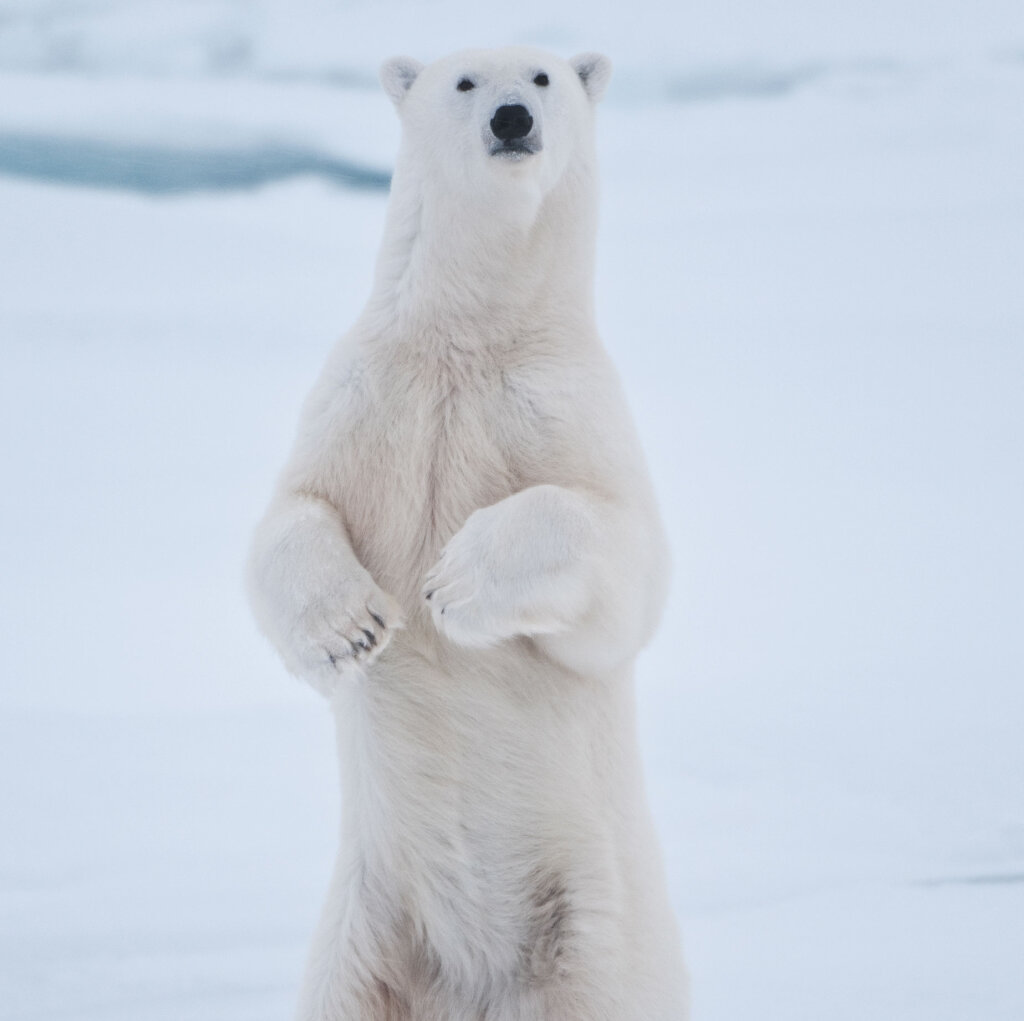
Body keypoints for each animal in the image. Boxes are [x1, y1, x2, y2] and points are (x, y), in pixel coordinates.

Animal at [247, 46, 688, 1021]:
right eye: (464, 82)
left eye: (545, 75)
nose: (513, 119)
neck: (467, 341)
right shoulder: (364, 394)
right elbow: (288, 514)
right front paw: (353, 628)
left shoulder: (566, 407)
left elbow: (624, 566)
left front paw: (456, 585)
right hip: (360, 939)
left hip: (593, 930)